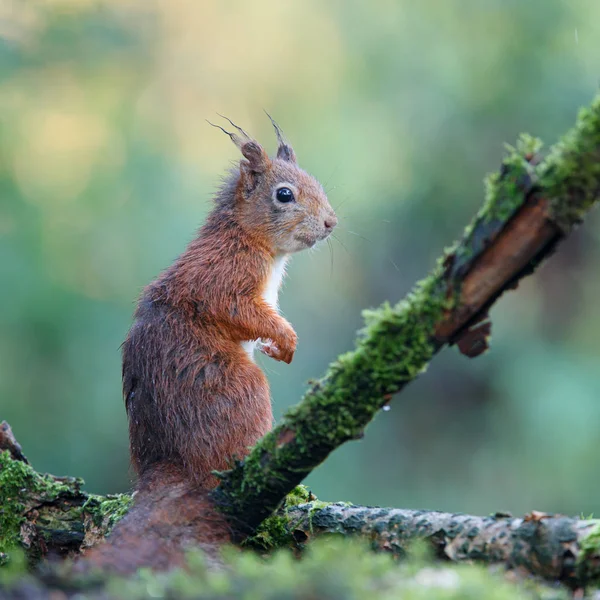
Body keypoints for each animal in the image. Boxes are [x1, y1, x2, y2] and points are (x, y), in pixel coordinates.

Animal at [81, 116, 338, 572]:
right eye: (284, 194)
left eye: (317, 183)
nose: (331, 223)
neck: (246, 236)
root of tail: (168, 462)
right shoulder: (222, 278)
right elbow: (239, 311)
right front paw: (285, 340)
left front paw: (278, 346)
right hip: (240, 389)